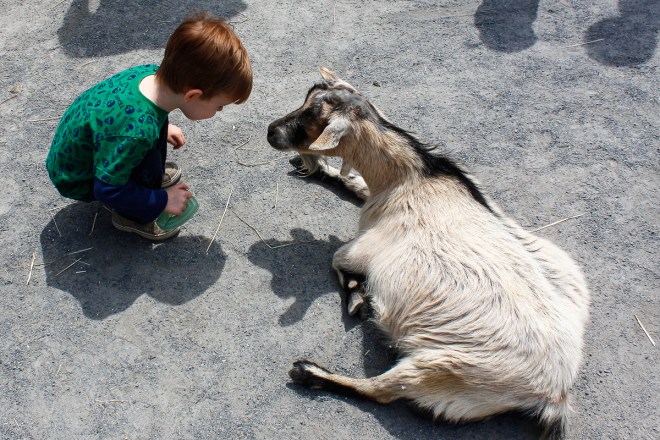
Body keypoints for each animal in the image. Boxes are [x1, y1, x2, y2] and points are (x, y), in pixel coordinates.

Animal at [266, 68, 590, 440]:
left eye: (311, 119)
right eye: (305, 102)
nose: (271, 131)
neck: (415, 177)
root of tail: (556, 393)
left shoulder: (370, 245)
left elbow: (337, 258)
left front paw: (357, 297)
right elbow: (356, 185)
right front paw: (322, 171)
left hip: (444, 368)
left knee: (381, 392)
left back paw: (309, 371)